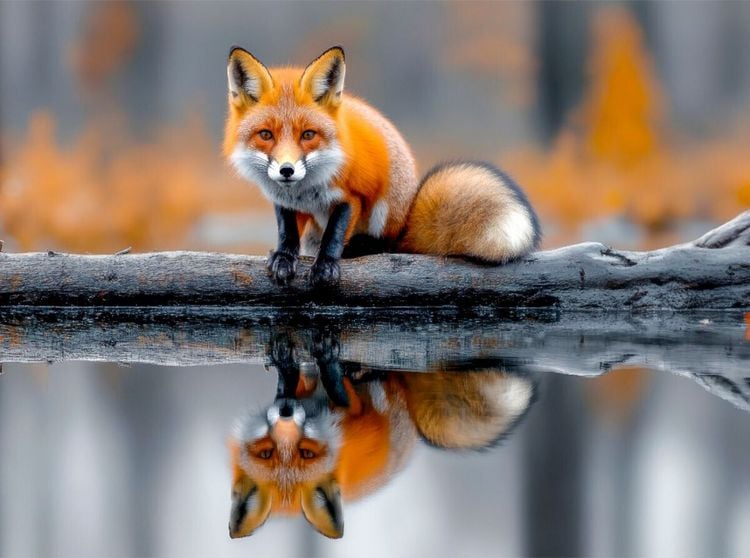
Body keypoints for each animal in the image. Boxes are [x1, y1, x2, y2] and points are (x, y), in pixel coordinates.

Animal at [224, 45, 541, 287]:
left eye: (308, 135)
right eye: (266, 135)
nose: (287, 170)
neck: (303, 191)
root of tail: (406, 220)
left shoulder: (351, 196)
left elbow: (333, 236)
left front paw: (326, 265)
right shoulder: (284, 201)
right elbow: (287, 233)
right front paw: (284, 257)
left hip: (385, 207)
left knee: (387, 246)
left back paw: (362, 247)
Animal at [228, 331, 537, 539]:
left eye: (305, 453)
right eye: (267, 453)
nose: (286, 412)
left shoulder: (354, 410)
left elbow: (333, 387)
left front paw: (319, 357)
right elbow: (302, 381)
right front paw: (290, 360)